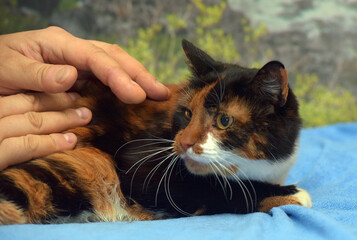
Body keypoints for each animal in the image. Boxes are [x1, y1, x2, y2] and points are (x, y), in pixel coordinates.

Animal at [0, 39, 310, 225]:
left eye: (224, 121)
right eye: (187, 113)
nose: (183, 143)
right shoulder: (140, 165)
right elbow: (218, 189)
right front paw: (293, 194)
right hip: (85, 164)